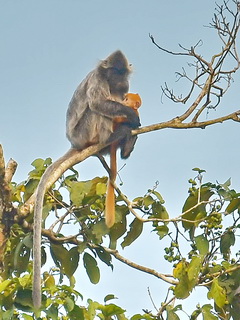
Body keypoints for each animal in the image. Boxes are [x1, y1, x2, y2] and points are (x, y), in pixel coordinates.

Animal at [31, 51, 141, 308]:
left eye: (122, 74)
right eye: (113, 72)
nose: (119, 81)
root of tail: (75, 142)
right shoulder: (97, 80)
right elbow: (98, 104)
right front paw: (132, 115)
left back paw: (125, 145)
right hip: (86, 132)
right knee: (96, 110)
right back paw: (114, 136)